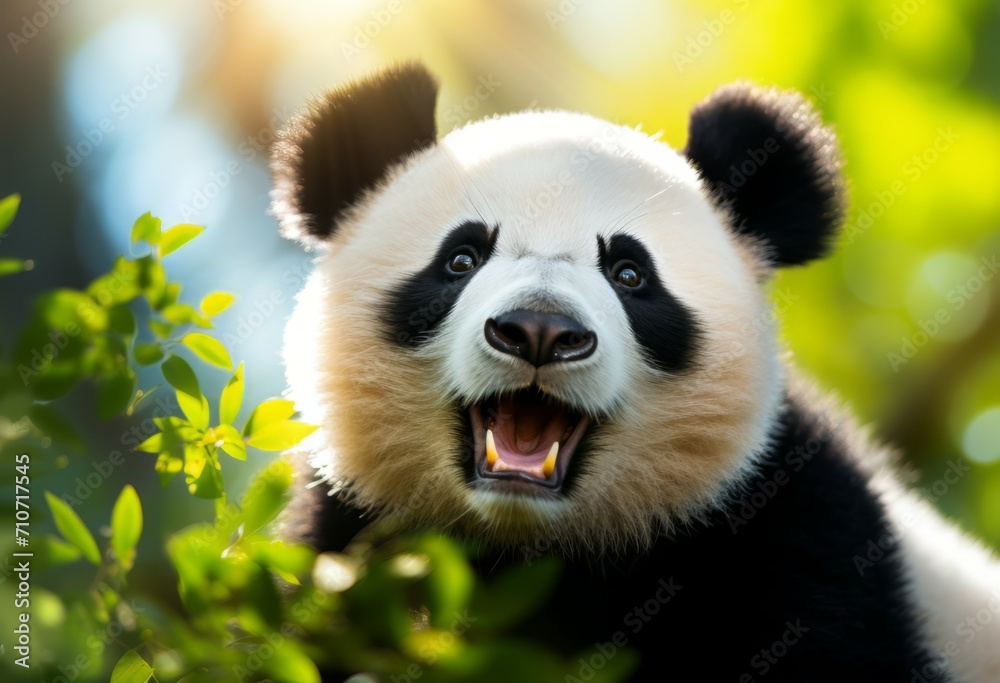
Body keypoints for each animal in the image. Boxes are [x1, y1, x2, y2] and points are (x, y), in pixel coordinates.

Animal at [269, 63, 1000, 681]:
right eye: (461, 259)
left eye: (629, 273)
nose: (540, 330)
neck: (531, 552)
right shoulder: (342, 549)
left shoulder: (800, 538)